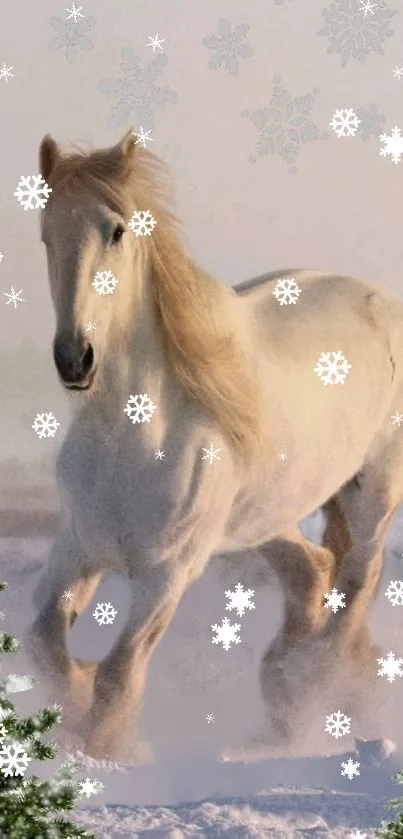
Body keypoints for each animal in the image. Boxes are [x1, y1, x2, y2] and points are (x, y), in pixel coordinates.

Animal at [26, 130, 403, 760]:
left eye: (116, 231)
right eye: (46, 233)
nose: (75, 358)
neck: (131, 437)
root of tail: (381, 298)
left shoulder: (167, 574)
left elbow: (118, 675)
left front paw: (108, 751)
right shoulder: (78, 548)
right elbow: (45, 646)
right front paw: (78, 706)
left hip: (372, 490)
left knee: (357, 580)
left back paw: (312, 685)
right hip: (266, 515)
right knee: (313, 570)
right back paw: (283, 695)